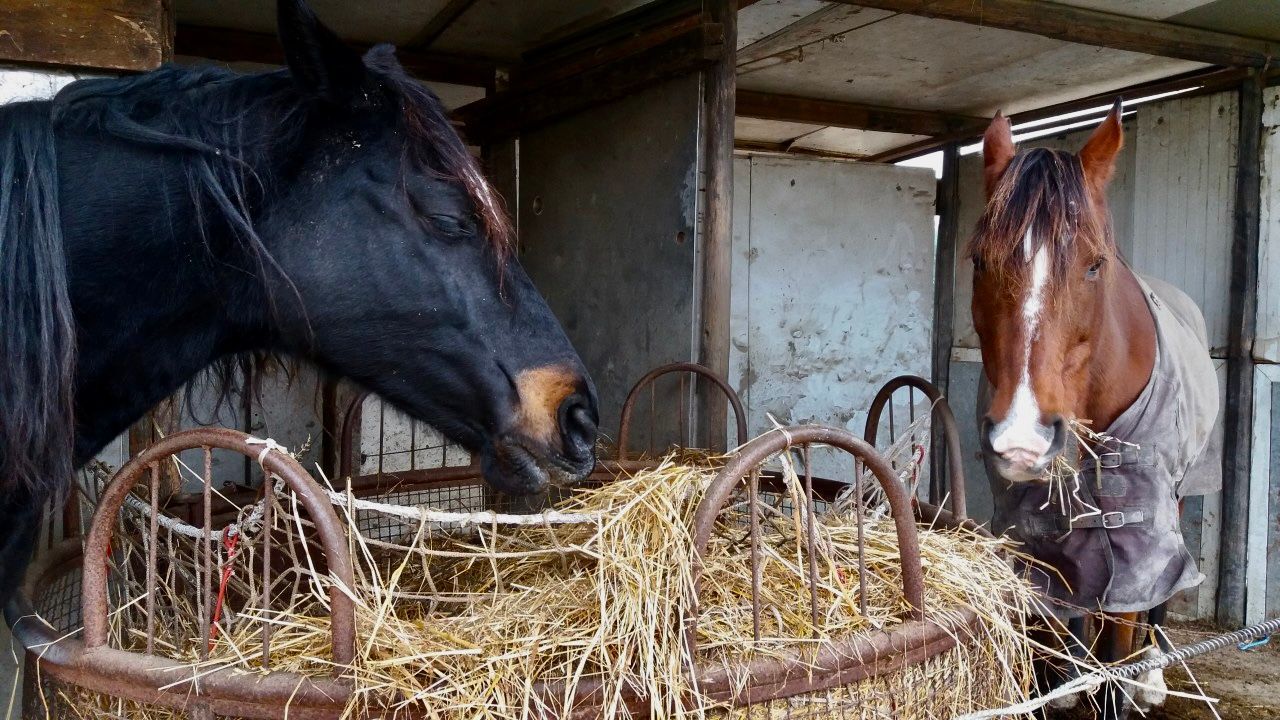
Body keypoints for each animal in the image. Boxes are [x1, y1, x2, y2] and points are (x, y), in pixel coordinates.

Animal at [967, 103, 1218, 712]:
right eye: (980, 260)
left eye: (1093, 265)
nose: (1022, 439)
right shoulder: (1034, 523)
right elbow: (1064, 602)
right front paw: (1064, 680)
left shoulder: (1142, 525)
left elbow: (1126, 629)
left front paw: (1123, 681)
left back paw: (1152, 675)